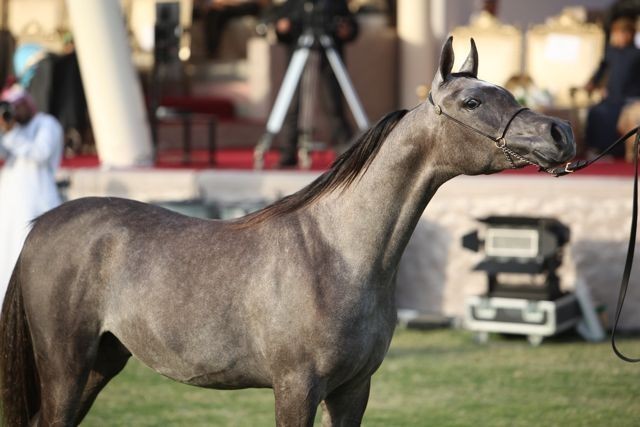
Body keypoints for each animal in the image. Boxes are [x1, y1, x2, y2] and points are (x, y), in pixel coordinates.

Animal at [0, 37, 575, 426]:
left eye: (506, 93)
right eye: (473, 103)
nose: (560, 133)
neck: (338, 254)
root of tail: (43, 224)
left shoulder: (353, 391)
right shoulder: (296, 388)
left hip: (102, 363)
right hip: (66, 368)